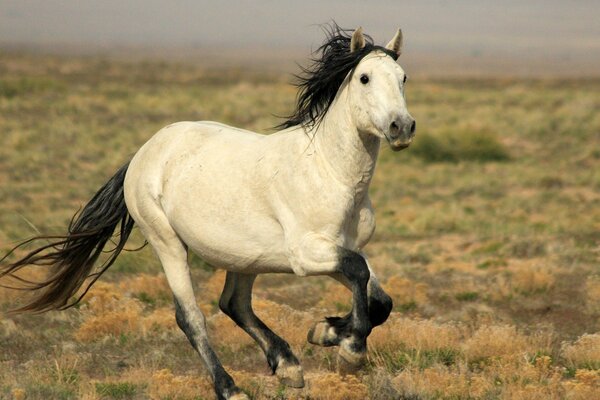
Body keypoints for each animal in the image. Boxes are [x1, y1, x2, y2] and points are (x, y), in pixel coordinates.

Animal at [1, 25, 412, 400]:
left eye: (403, 77)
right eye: (364, 78)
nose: (402, 127)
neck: (329, 173)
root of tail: (144, 152)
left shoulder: (342, 249)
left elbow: (379, 300)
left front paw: (324, 331)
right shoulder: (307, 255)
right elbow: (360, 274)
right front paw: (349, 350)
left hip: (247, 258)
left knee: (234, 304)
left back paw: (288, 365)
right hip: (167, 243)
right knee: (191, 317)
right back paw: (230, 388)